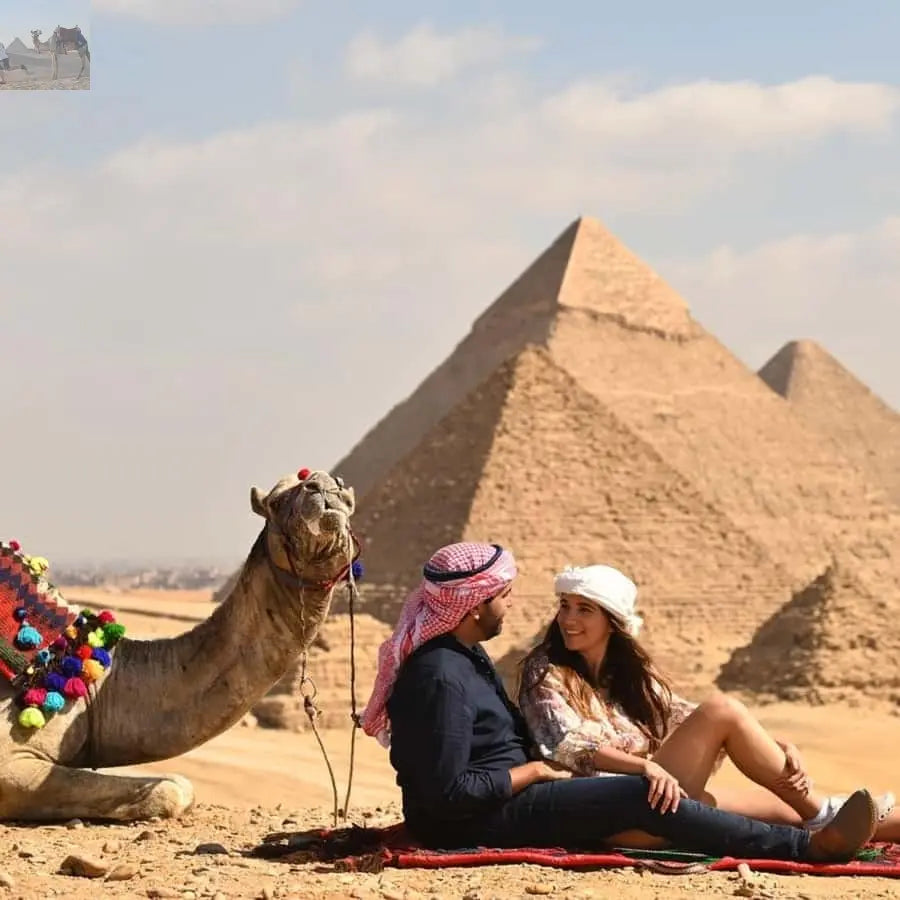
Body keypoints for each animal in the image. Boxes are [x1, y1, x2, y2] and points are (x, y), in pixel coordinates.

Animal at [0, 468, 358, 822]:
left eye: (344, 490)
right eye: (276, 500)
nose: (325, 487)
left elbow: (179, 788)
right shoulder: (11, 761)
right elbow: (176, 789)